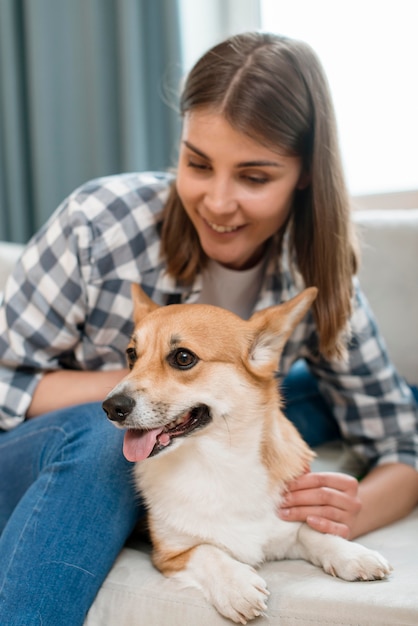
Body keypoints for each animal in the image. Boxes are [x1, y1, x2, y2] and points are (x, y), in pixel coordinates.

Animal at [103, 286, 390, 620]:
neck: (216, 462)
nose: (111, 407)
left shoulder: (284, 526)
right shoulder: (171, 553)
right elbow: (207, 551)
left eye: (183, 357)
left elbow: (311, 531)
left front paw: (352, 554)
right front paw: (236, 585)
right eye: (131, 355)